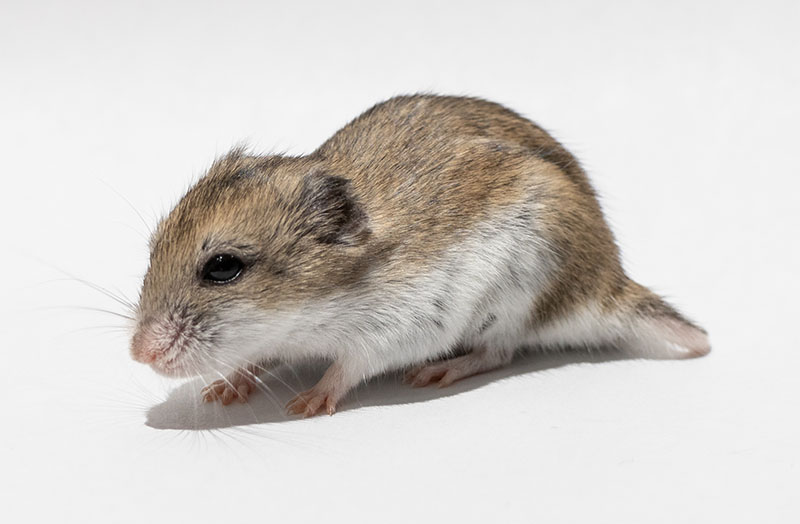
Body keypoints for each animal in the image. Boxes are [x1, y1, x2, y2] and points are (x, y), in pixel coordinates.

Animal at [130, 94, 710, 417]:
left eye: (223, 267)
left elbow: (347, 367)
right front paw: (223, 391)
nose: (139, 354)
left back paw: (438, 373)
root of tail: (611, 283)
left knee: (497, 353)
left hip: (521, 295)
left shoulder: (398, 329)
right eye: (153, 248)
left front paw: (306, 403)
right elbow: (256, 357)